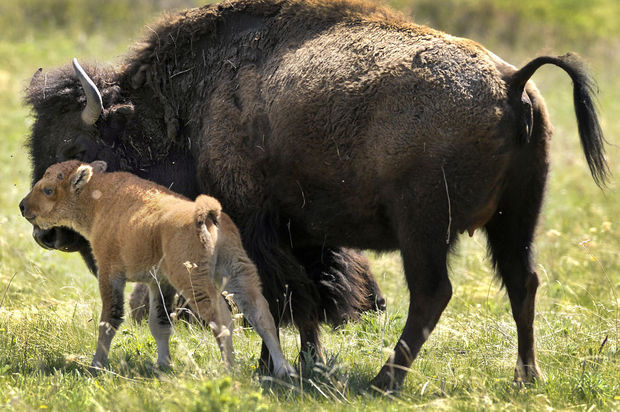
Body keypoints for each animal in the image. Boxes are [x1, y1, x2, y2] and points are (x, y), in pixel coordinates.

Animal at [19, 159, 296, 378]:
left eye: (48, 189)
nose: (23, 206)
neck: (100, 197)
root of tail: (207, 214)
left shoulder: (110, 274)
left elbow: (109, 320)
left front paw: (96, 365)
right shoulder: (158, 282)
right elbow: (160, 323)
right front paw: (163, 364)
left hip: (195, 281)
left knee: (222, 319)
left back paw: (229, 369)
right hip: (237, 272)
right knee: (262, 315)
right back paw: (284, 370)